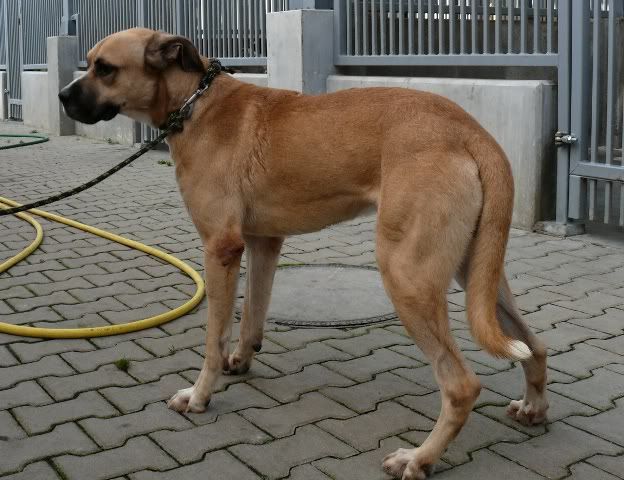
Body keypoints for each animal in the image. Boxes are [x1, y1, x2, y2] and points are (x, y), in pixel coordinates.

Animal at [59, 28, 549, 479]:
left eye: (105, 68)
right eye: (89, 62)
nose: (63, 97)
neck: (194, 101)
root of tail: (471, 132)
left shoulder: (220, 248)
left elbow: (214, 338)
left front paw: (200, 395)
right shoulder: (262, 243)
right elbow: (252, 316)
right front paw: (241, 362)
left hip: (407, 275)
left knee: (461, 385)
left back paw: (419, 458)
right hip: (477, 274)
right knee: (535, 344)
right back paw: (533, 408)